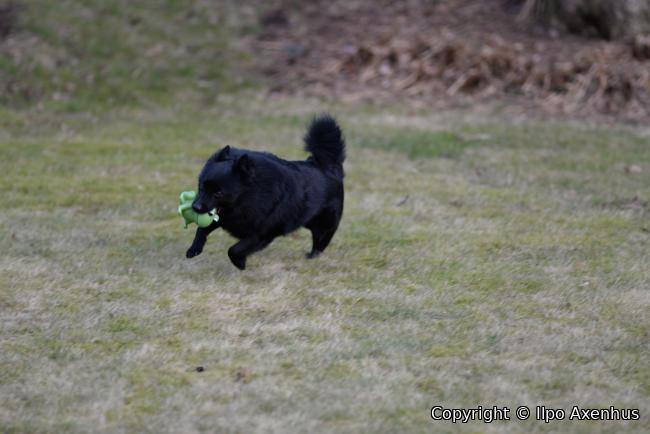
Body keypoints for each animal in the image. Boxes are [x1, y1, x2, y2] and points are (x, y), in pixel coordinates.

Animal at [186, 115, 345, 270]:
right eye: (201, 187)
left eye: (218, 193)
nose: (195, 207)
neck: (249, 196)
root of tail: (328, 165)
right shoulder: (223, 218)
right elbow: (202, 230)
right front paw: (194, 249)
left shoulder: (261, 234)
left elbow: (234, 249)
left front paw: (240, 263)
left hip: (325, 223)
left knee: (321, 240)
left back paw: (313, 256)